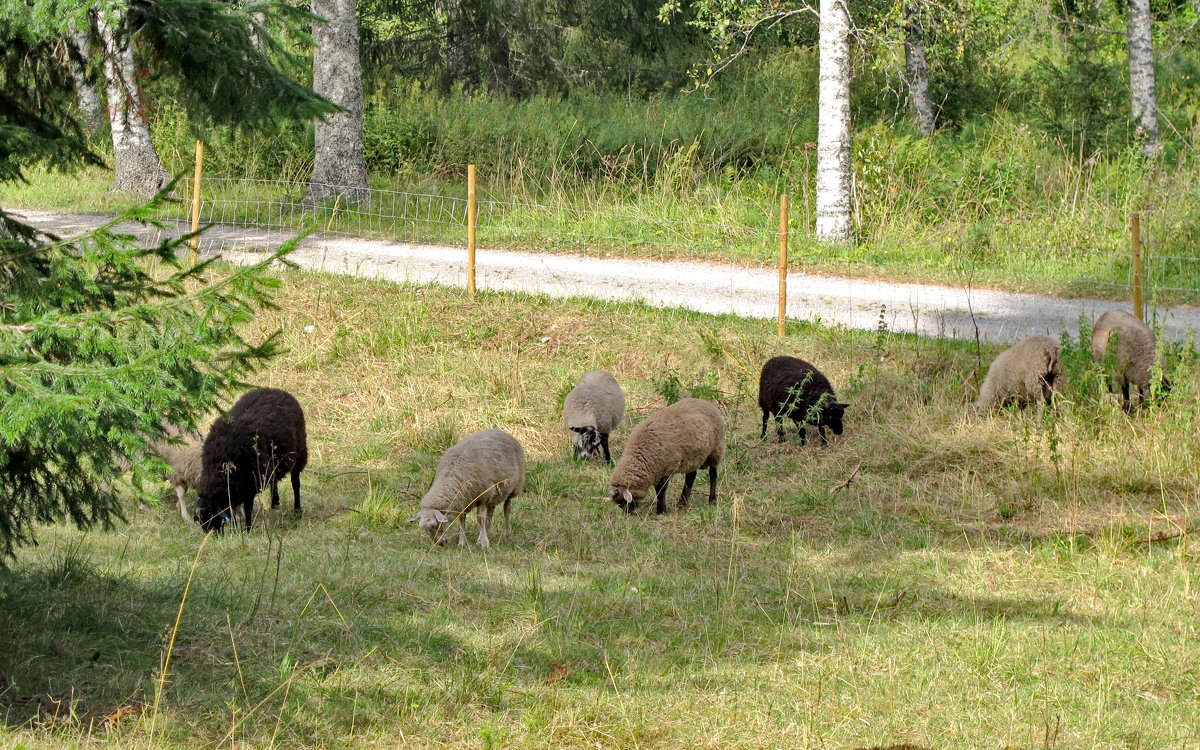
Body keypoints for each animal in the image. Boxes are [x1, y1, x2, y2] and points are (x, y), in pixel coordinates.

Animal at [194, 386, 307, 532]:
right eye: (202, 521)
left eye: (213, 516)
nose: (214, 535)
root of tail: (277, 390)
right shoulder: (238, 487)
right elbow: (234, 509)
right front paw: (236, 529)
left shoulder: (250, 483)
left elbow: (247, 508)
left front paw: (247, 529)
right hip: (271, 463)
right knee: (274, 480)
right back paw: (274, 504)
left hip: (300, 452)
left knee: (295, 483)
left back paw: (297, 511)